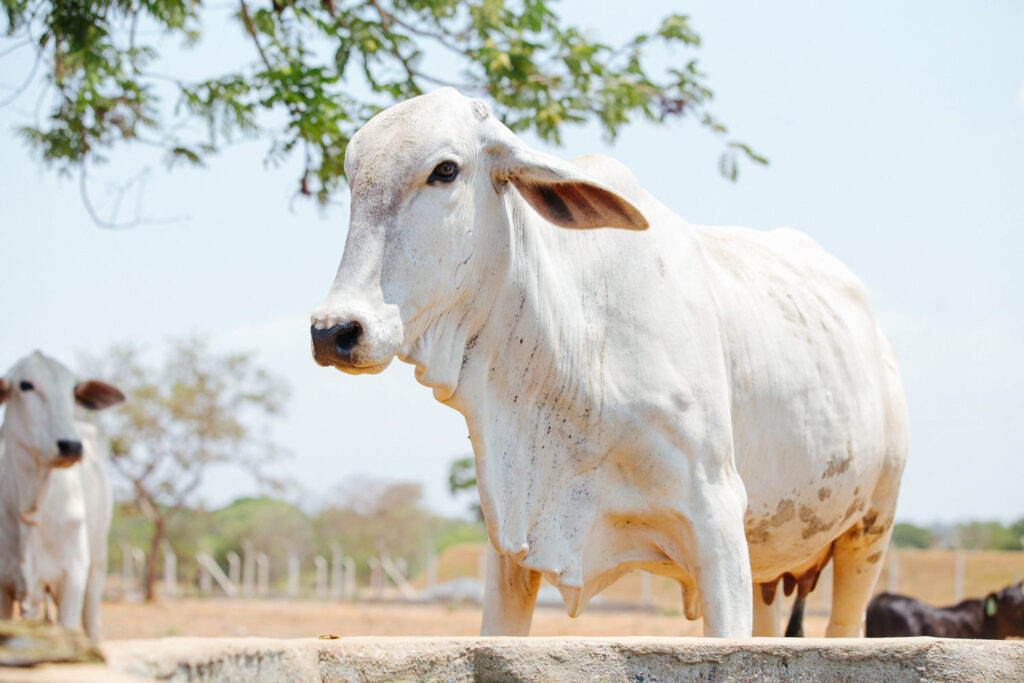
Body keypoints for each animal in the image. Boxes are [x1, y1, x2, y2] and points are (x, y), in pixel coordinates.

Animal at [0, 351, 123, 639]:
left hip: (97, 564)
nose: (71, 445)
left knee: (91, 621)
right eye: (25, 385)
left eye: (73, 391)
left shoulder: (72, 578)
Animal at [310, 88, 909, 637]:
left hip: (869, 531)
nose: (334, 331)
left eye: (445, 170)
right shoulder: (511, 543)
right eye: (352, 178)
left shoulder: (717, 519)